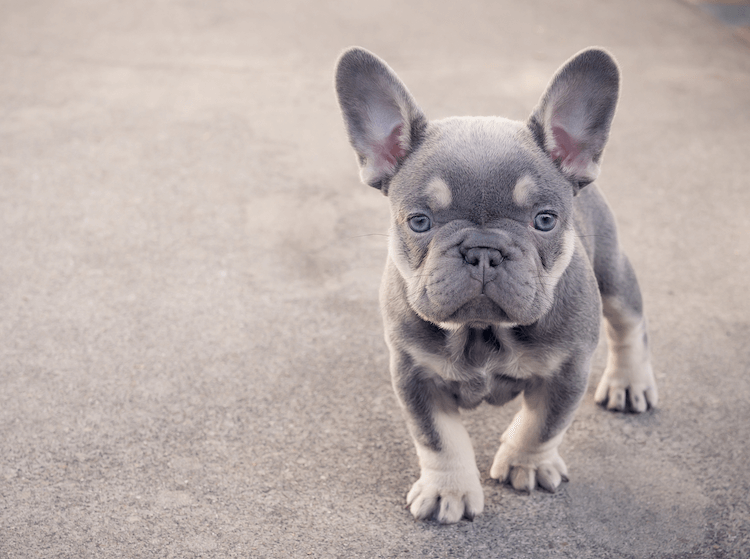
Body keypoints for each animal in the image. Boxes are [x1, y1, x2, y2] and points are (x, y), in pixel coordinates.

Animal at [334, 47, 656, 524]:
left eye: (545, 220)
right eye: (419, 221)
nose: (483, 250)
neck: (483, 332)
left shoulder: (568, 369)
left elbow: (544, 424)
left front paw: (528, 464)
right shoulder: (414, 374)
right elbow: (438, 438)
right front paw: (448, 489)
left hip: (612, 272)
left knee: (629, 321)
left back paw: (629, 382)